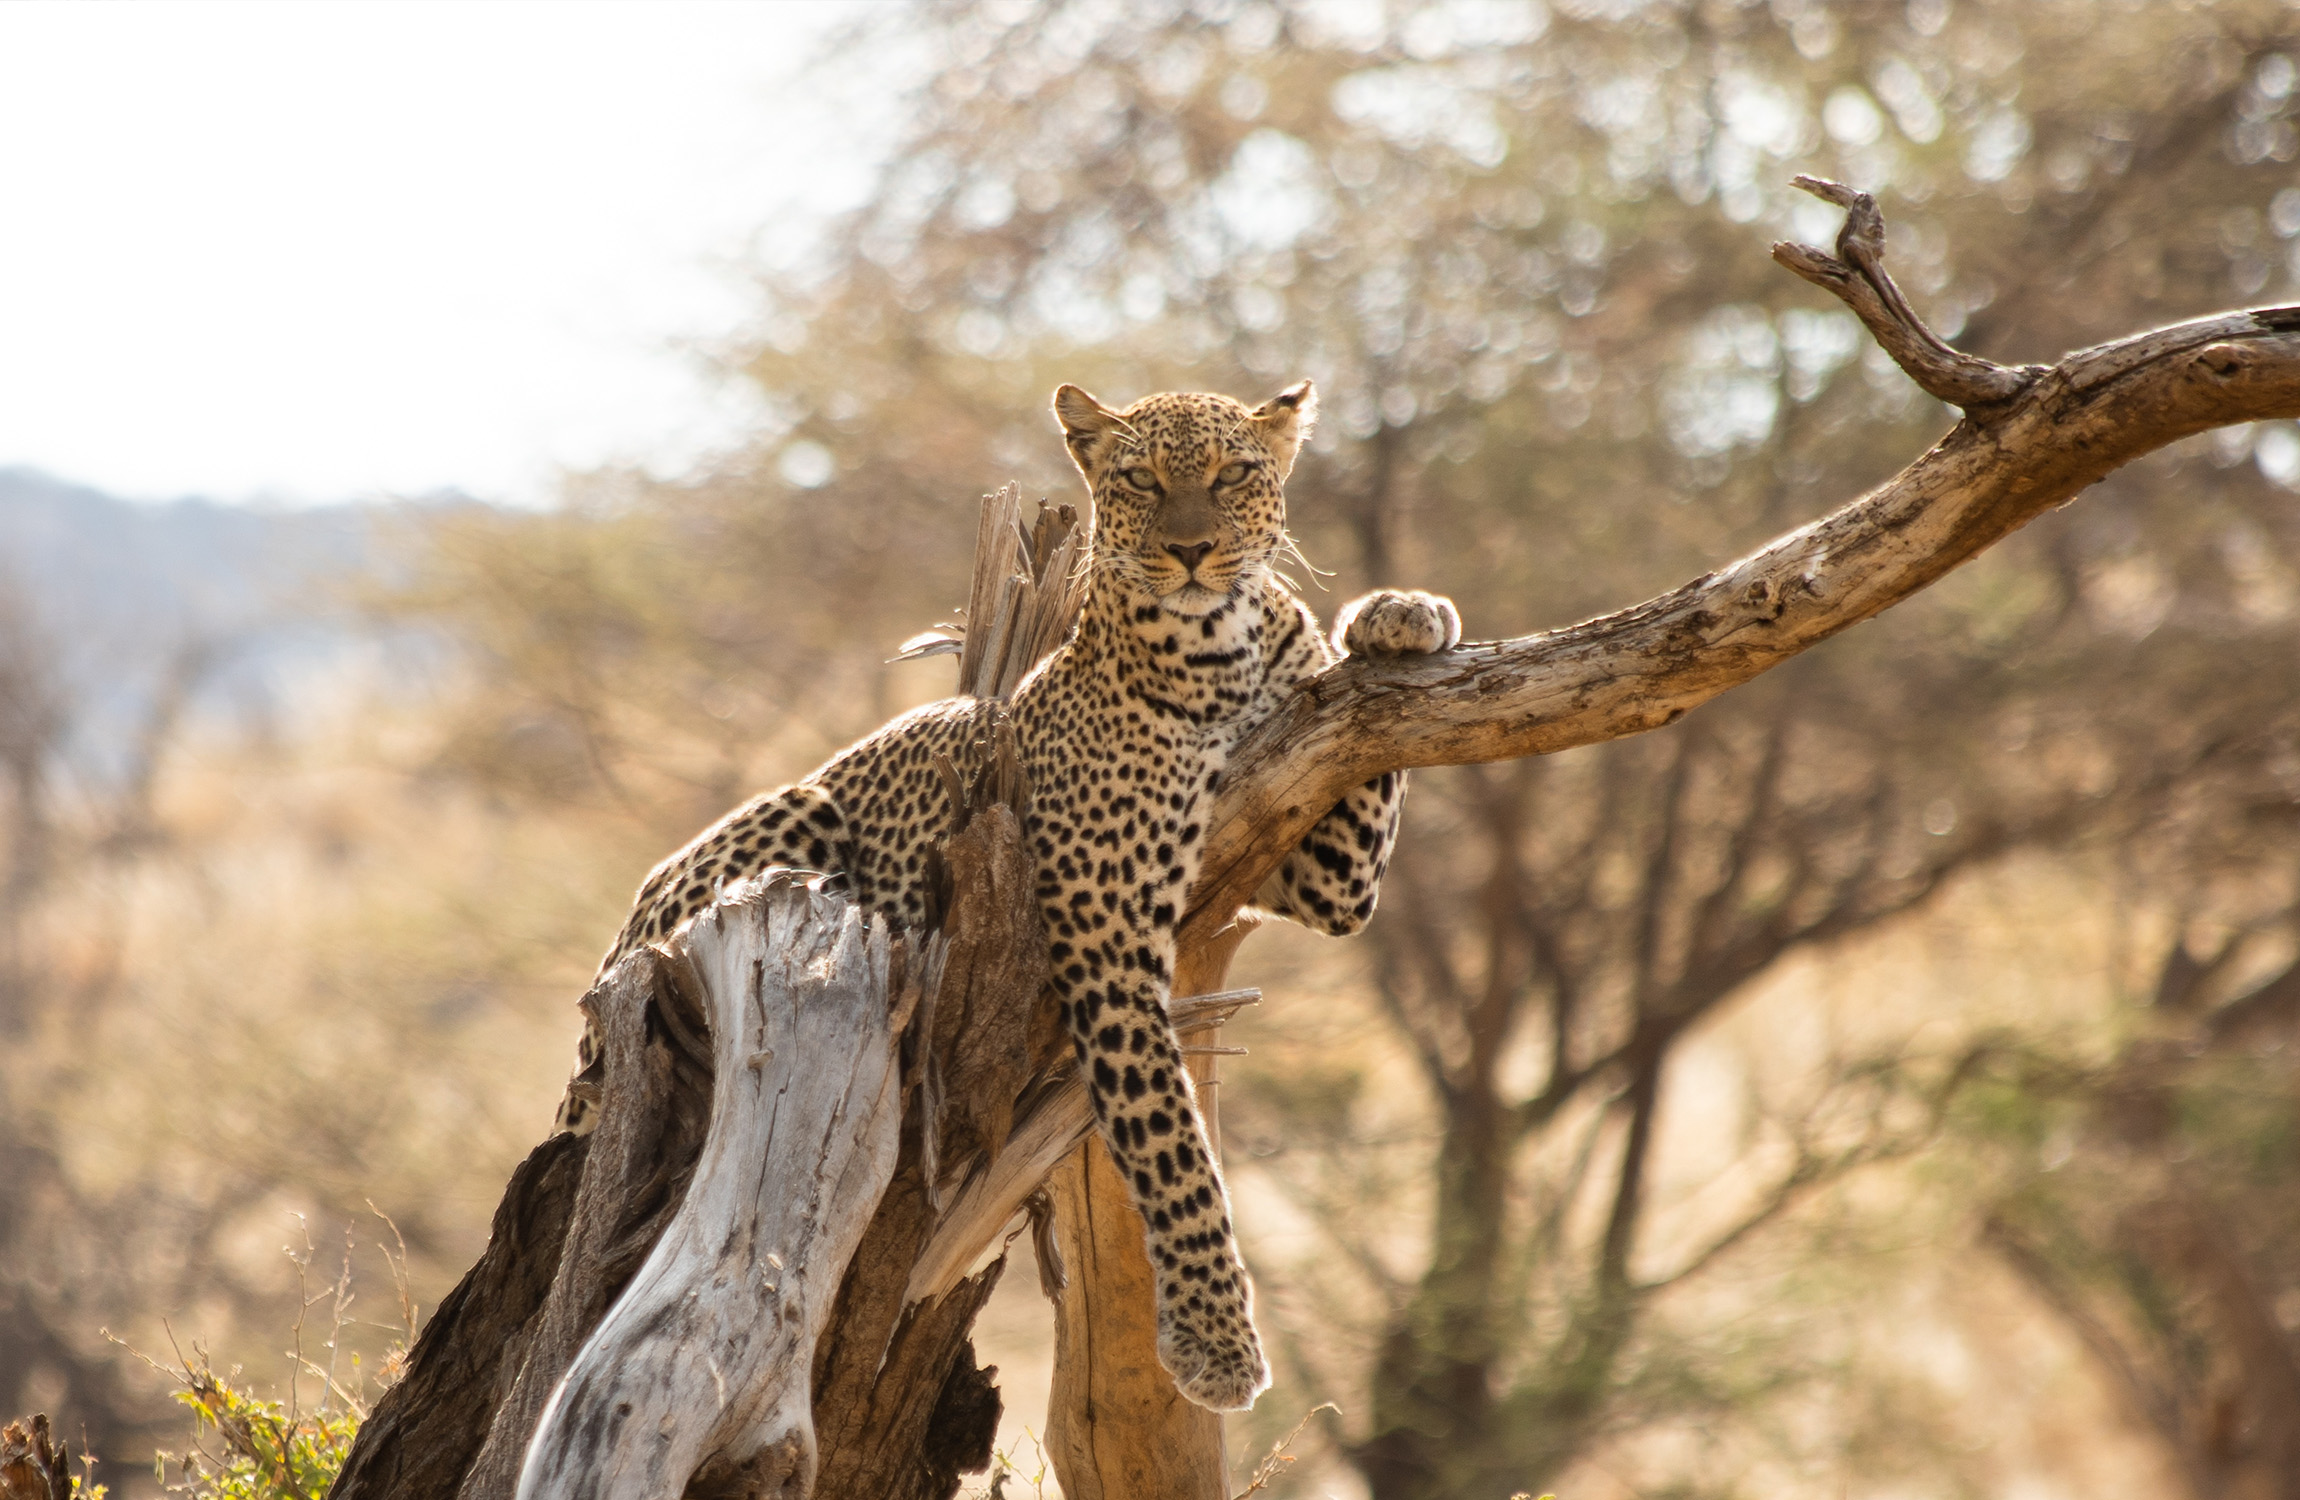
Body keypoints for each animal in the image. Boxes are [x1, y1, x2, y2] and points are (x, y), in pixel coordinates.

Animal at [552, 379, 1460, 1412]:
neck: (1218, 653)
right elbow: (1168, 1137)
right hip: (809, 812)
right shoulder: (1107, 932)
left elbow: (1364, 745)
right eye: (1140, 480)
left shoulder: (1316, 869)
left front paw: (1397, 614)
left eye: (1235, 474)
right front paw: (1218, 1341)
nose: (1193, 551)